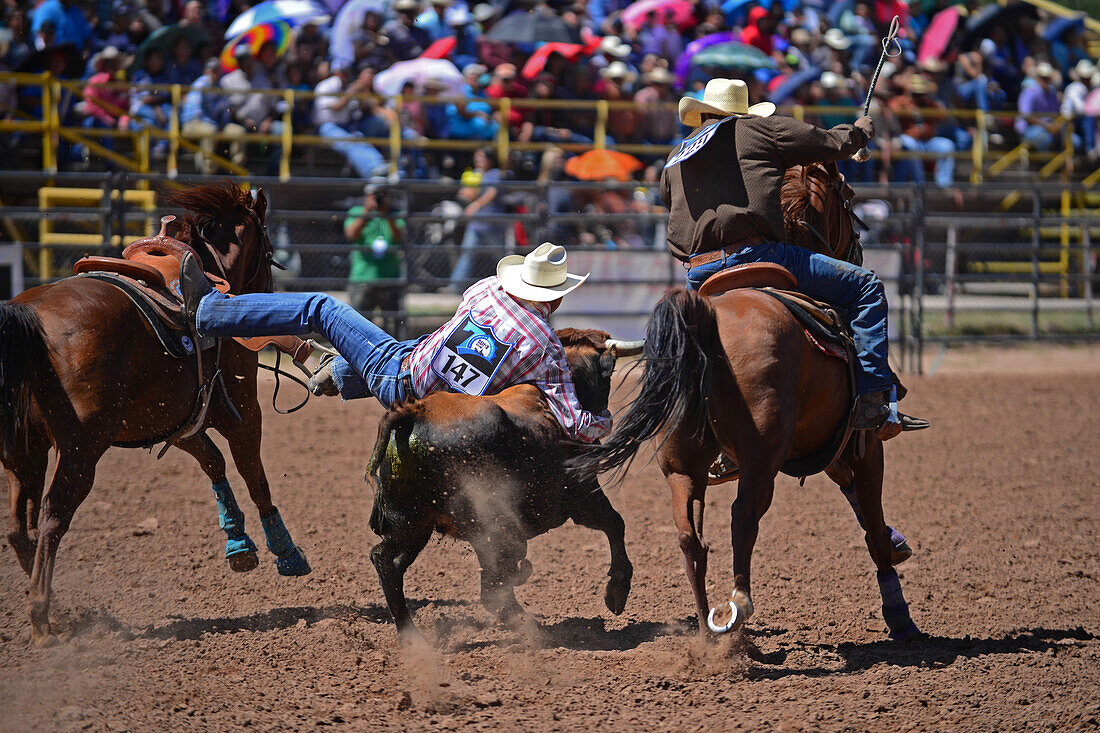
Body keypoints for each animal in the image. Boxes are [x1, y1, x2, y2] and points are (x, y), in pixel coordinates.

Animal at [1, 182, 310, 647]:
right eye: (269, 250)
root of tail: (30, 316)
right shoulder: (242, 413)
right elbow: (254, 475)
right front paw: (285, 551)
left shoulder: (178, 422)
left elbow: (213, 462)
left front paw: (238, 542)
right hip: (79, 452)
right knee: (52, 517)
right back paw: (42, 620)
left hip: (24, 451)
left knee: (20, 526)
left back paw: (59, 609)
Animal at [567, 163, 919, 638]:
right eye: (848, 200)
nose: (859, 252)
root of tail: (707, 317)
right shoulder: (862, 445)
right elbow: (873, 526)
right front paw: (900, 618)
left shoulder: (831, 445)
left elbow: (864, 513)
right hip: (760, 456)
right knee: (743, 515)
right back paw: (738, 606)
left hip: (682, 464)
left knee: (690, 537)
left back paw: (707, 631)